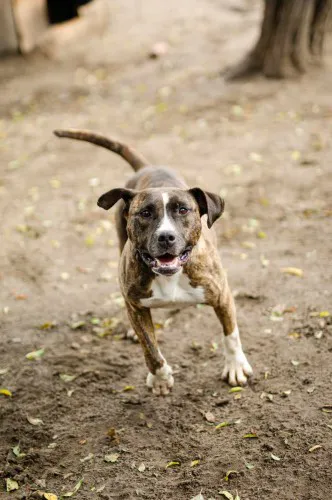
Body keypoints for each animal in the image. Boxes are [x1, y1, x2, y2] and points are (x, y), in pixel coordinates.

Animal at [54, 129, 253, 394]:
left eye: (183, 210)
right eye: (145, 213)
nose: (166, 236)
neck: (171, 276)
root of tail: (148, 167)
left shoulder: (221, 295)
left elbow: (230, 334)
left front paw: (235, 366)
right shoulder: (136, 305)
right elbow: (149, 347)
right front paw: (160, 378)